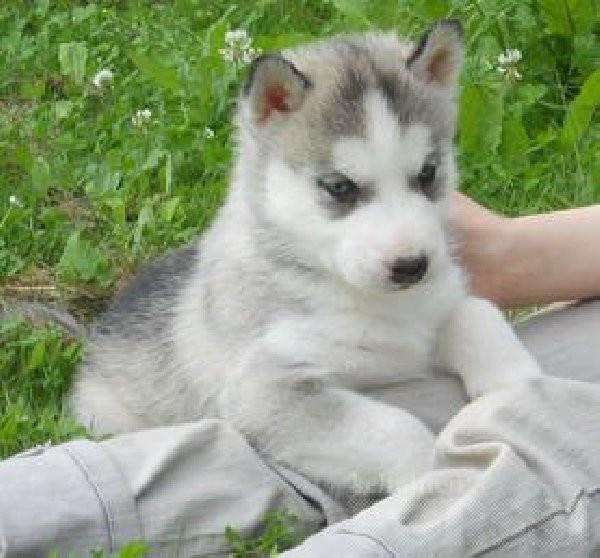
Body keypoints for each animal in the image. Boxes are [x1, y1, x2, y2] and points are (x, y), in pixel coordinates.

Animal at [69, 18, 540, 498]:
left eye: (428, 173)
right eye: (339, 187)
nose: (411, 266)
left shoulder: (438, 301)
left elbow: (477, 313)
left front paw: (518, 392)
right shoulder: (265, 389)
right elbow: (397, 427)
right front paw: (440, 479)